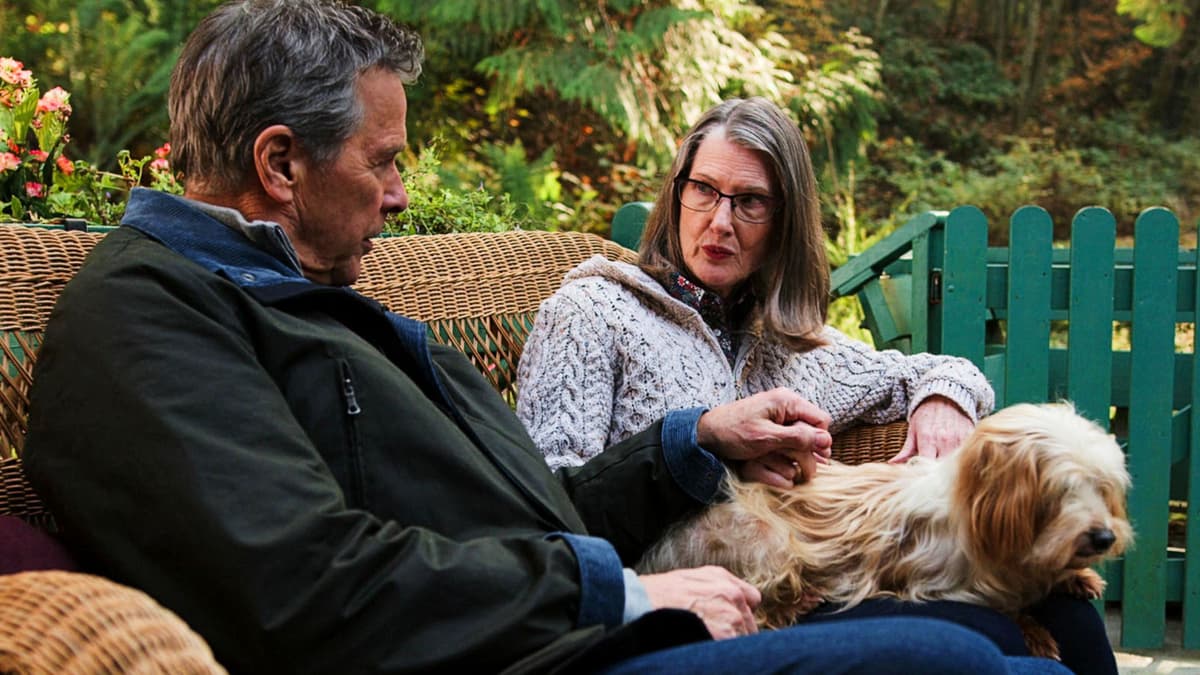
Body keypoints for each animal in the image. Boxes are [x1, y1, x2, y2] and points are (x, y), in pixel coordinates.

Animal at [638, 401, 1132, 653]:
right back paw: (798, 601)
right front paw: (1035, 632)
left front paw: (1076, 576)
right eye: (1061, 491)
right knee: (760, 609)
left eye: (1102, 486)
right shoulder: (939, 579)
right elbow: (1007, 610)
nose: (1104, 538)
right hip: (766, 539)